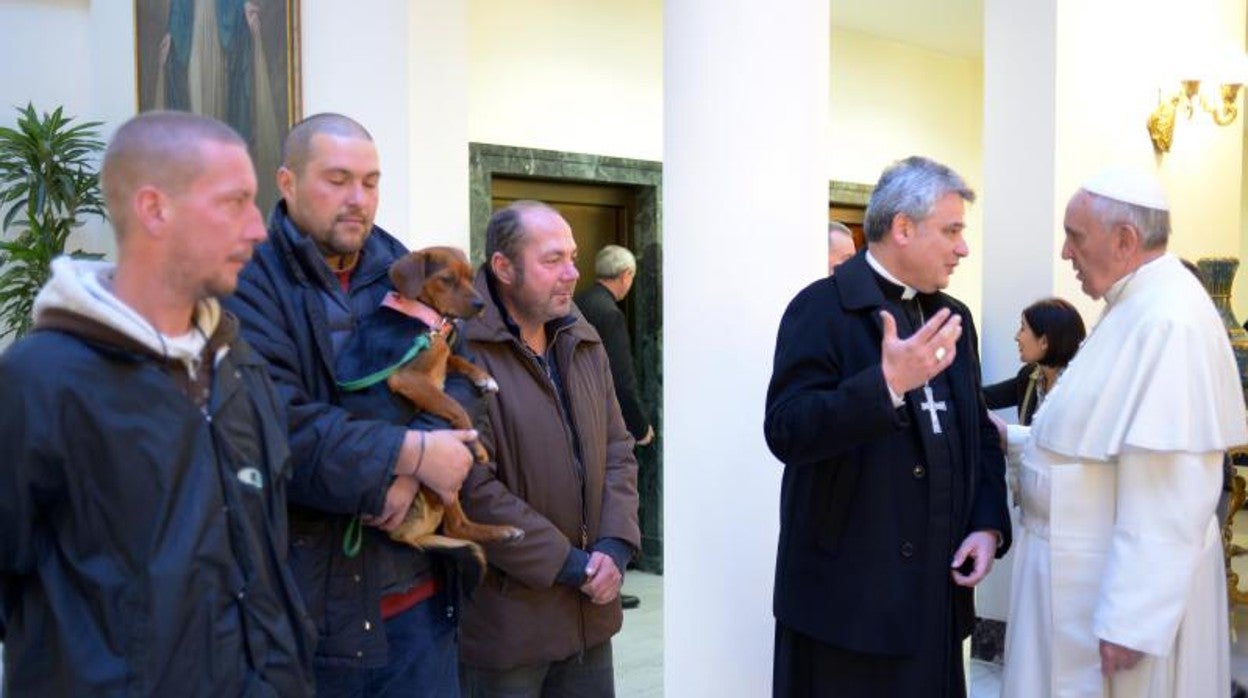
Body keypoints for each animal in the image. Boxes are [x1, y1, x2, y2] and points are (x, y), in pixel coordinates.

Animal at [379, 245, 516, 556]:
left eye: (470, 277)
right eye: (447, 279)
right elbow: (454, 406)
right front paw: (477, 445)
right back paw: (503, 531)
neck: (427, 318)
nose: (481, 304)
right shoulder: (407, 378)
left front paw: (483, 378)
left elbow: (457, 359)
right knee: (456, 527)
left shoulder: (441, 356)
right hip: (443, 477)